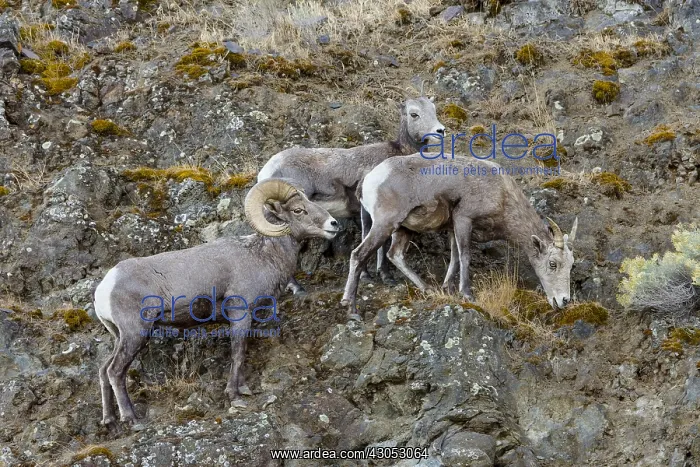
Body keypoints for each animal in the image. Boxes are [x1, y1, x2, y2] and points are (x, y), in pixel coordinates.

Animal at [94, 178, 339, 427]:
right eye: (298, 210)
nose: (334, 224)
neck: (263, 256)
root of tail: (105, 288)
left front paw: (243, 389)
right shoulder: (240, 314)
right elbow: (238, 353)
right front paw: (234, 395)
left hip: (120, 336)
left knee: (103, 370)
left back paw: (109, 420)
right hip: (135, 334)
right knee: (115, 371)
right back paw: (131, 419)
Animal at [258, 97, 445, 293]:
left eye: (433, 110)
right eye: (414, 114)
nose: (440, 131)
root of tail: (267, 171)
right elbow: (370, 237)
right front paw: (375, 276)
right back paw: (297, 288)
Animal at [341, 155, 578, 320]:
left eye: (571, 265)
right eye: (553, 264)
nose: (563, 301)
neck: (502, 195)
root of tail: (369, 179)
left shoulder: (453, 227)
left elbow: (454, 258)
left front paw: (447, 289)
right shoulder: (464, 220)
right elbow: (464, 257)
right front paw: (467, 294)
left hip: (402, 229)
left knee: (395, 254)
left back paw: (428, 289)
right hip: (385, 224)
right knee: (358, 255)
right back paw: (352, 310)